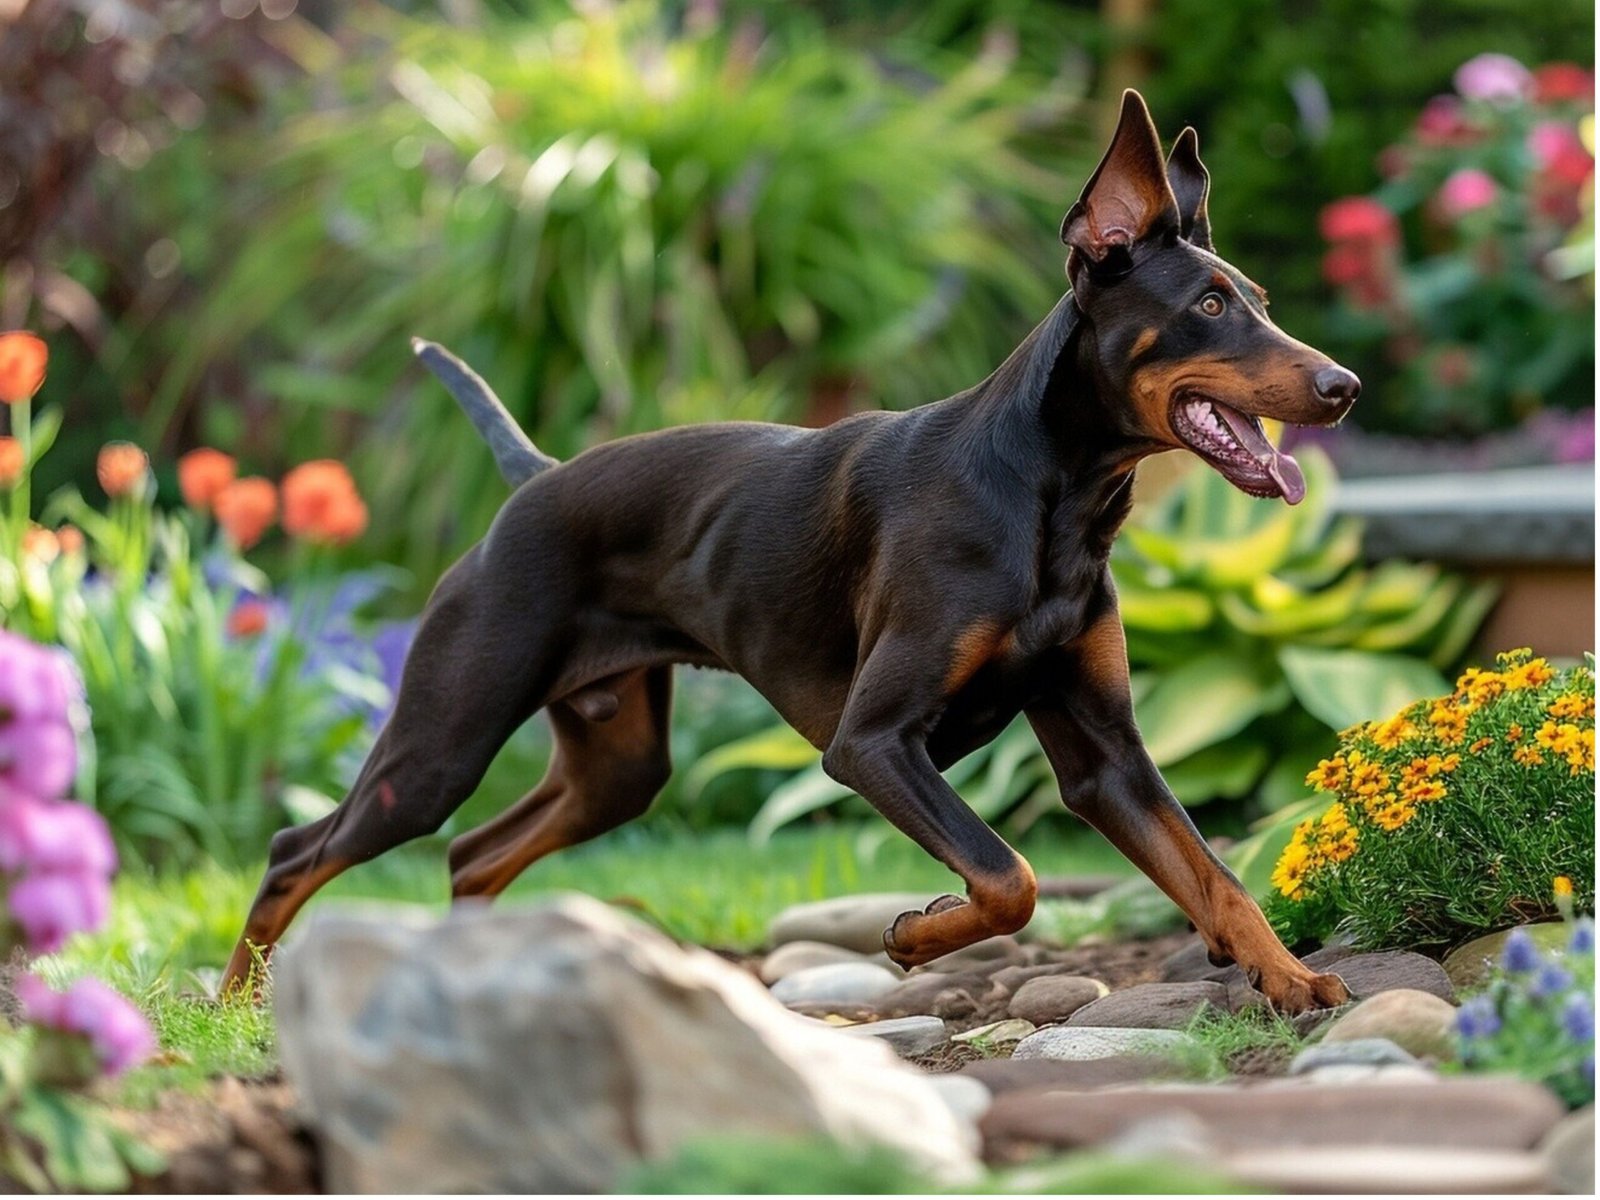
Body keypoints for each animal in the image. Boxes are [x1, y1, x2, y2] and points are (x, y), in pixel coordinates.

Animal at [219, 91, 1356, 1017]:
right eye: (1208, 306)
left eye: (1259, 299)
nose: (1343, 386)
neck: (1053, 503)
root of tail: (532, 477)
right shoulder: (871, 742)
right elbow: (1009, 876)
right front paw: (915, 937)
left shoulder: (1106, 751)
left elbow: (1210, 873)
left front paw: (1286, 977)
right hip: (442, 742)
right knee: (296, 850)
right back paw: (235, 1005)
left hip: (618, 766)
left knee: (469, 855)